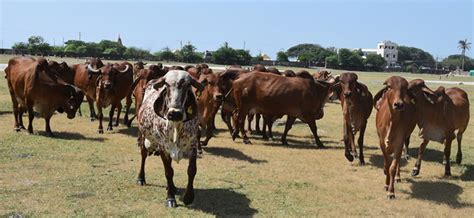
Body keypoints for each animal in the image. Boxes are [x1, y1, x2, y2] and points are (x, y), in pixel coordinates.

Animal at [136, 70, 205, 208]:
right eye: (166, 85)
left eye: (187, 85)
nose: (175, 113)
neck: (176, 126)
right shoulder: (163, 148)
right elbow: (168, 172)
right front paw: (170, 198)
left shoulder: (193, 146)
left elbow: (192, 170)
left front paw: (188, 197)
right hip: (143, 136)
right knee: (143, 154)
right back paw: (141, 178)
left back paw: (172, 187)